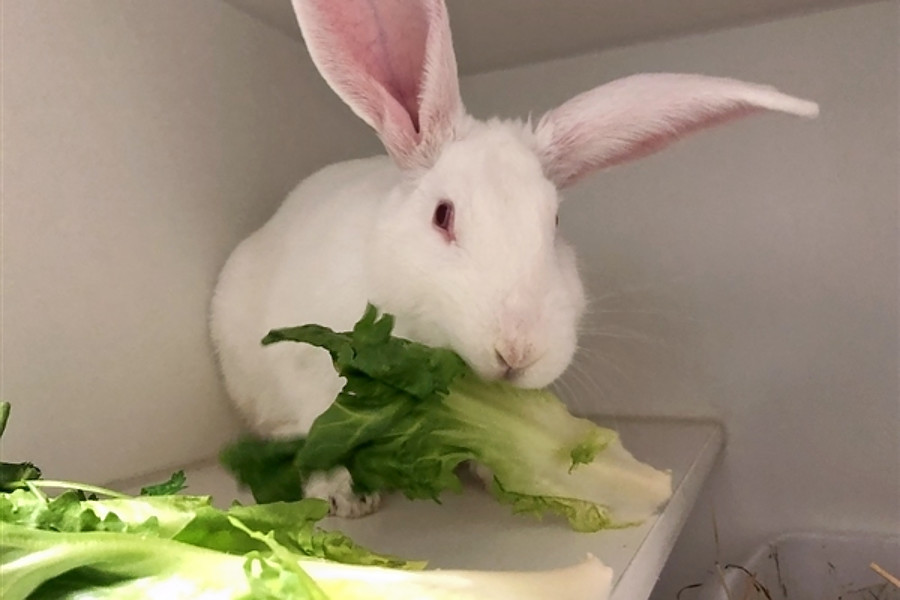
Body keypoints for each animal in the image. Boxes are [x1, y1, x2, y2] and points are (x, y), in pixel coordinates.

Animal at [210, 0, 818, 517]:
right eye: (443, 216)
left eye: (556, 224)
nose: (517, 352)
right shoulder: (306, 372)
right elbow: (319, 441)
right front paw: (345, 498)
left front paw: (492, 468)